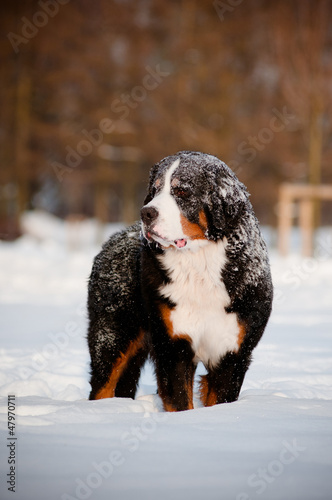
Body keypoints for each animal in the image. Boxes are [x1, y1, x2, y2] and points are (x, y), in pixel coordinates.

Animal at [87, 151, 272, 410]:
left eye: (182, 191)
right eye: (154, 191)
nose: (146, 213)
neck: (199, 264)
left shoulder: (233, 353)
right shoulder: (173, 347)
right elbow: (181, 400)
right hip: (112, 336)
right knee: (102, 385)